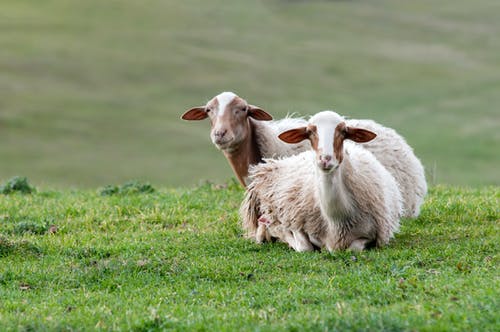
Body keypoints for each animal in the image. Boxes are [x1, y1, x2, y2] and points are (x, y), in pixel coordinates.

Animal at [241, 111, 402, 252]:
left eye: (344, 132)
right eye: (309, 132)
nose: (325, 159)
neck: (336, 220)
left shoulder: (372, 235)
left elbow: (354, 249)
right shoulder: (297, 221)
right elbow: (304, 246)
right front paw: (282, 234)